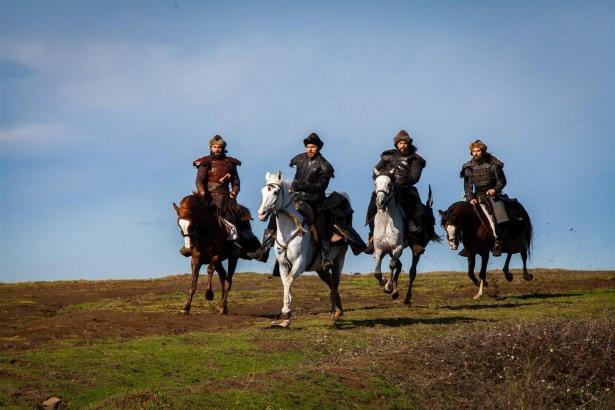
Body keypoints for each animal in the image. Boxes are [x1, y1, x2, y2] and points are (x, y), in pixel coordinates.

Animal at [258, 171, 348, 328]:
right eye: (263, 191)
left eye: (275, 191)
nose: (261, 214)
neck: (290, 229)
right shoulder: (283, 265)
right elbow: (285, 282)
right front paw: (286, 319)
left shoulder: (299, 263)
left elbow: (289, 280)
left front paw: (286, 312)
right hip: (320, 269)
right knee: (331, 284)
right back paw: (337, 313)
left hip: (338, 260)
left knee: (335, 284)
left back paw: (334, 316)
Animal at [370, 171, 434, 306]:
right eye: (376, 183)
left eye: (389, 184)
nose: (380, 202)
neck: (386, 221)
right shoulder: (379, 250)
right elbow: (377, 272)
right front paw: (384, 283)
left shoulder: (397, 247)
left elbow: (392, 265)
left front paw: (388, 286)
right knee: (399, 267)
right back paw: (395, 293)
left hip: (416, 250)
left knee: (411, 272)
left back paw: (406, 298)